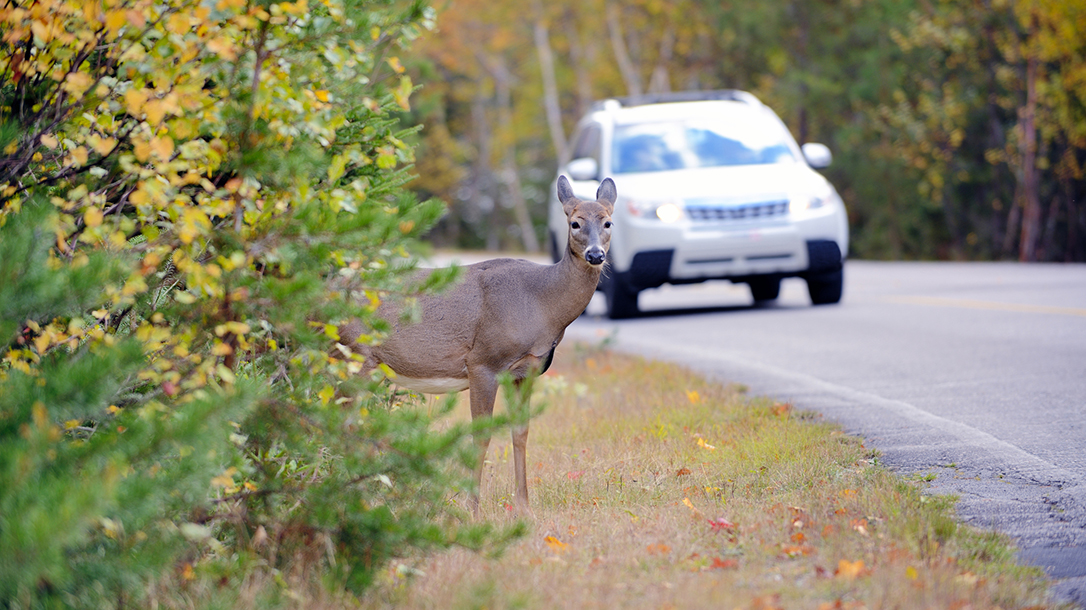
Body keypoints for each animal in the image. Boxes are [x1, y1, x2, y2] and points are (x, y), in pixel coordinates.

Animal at [338, 176, 616, 517]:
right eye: (575, 223)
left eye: (608, 222)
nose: (595, 255)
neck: (541, 302)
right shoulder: (483, 362)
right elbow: (480, 436)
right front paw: (472, 509)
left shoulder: (526, 370)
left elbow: (521, 432)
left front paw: (524, 507)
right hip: (353, 354)